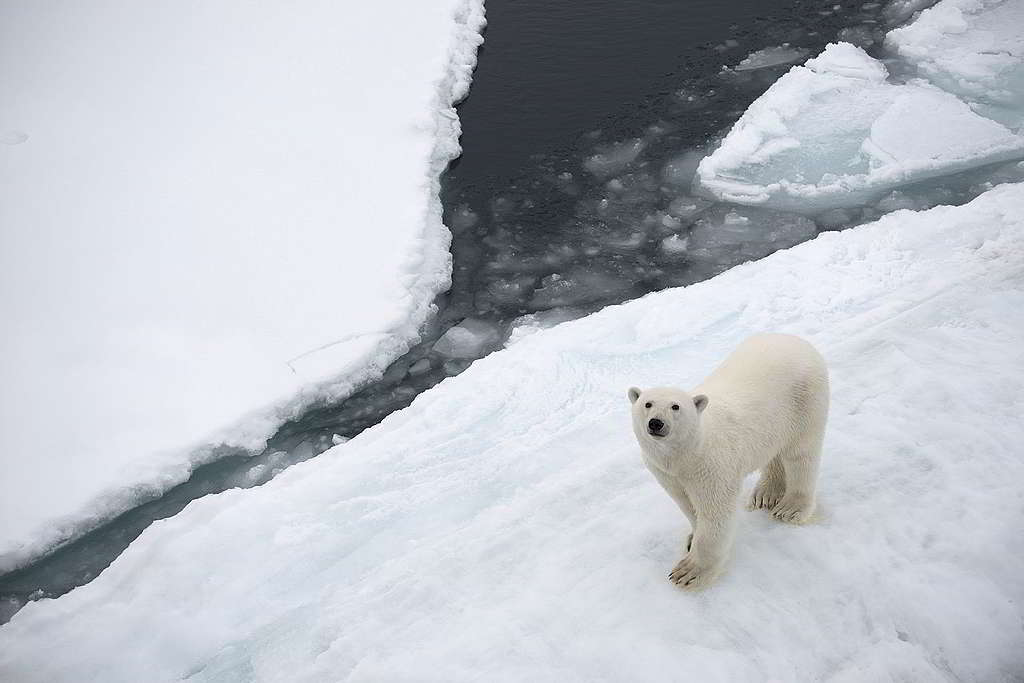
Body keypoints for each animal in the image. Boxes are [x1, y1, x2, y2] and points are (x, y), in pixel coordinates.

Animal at [626, 333, 827, 589]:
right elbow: (686, 503)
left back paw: (791, 508)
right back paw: (765, 494)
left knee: (801, 453)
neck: (686, 453)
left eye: (675, 406)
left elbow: (715, 511)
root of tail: (797, 340)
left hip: (804, 398)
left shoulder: (711, 465)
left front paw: (690, 571)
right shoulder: (665, 471)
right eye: (647, 403)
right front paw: (691, 537)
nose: (656, 423)